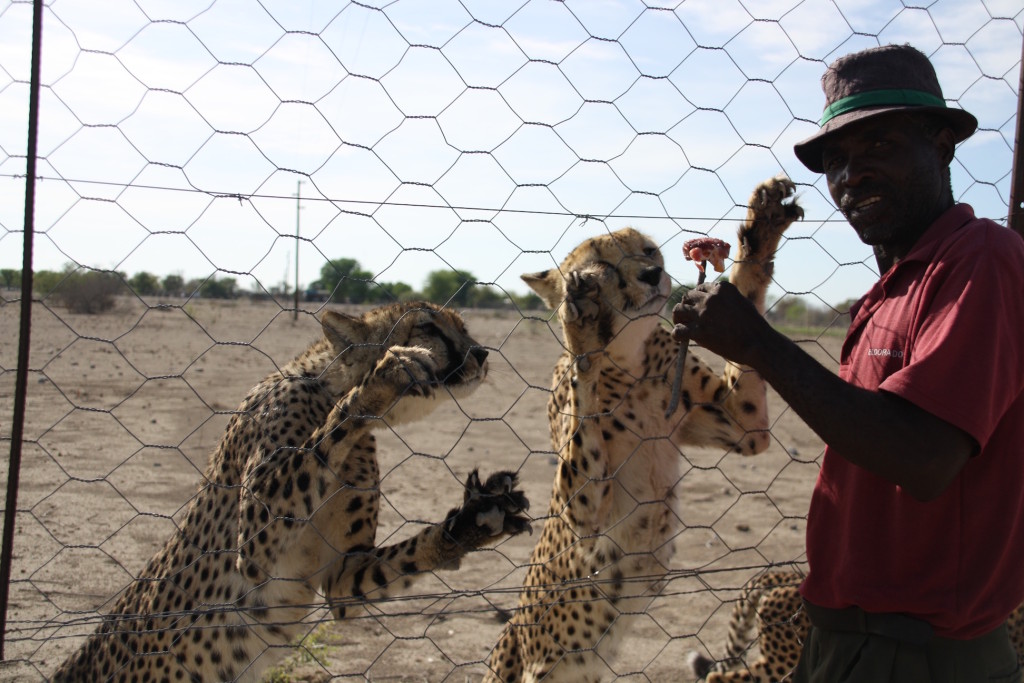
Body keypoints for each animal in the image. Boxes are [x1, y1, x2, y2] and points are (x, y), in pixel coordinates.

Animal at [48, 301, 532, 679]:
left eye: (464, 327)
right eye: (428, 327)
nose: (481, 353)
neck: (322, 386)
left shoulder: (342, 578)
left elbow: (380, 568)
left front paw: (476, 521)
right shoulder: (254, 550)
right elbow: (325, 437)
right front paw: (382, 379)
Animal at [483, 178, 802, 683]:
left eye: (649, 250)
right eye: (606, 267)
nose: (652, 275)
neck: (632, 359)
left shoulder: (744, 424)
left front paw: (762, 228)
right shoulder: (583, 519)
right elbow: (583, 383)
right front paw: (582, 324)